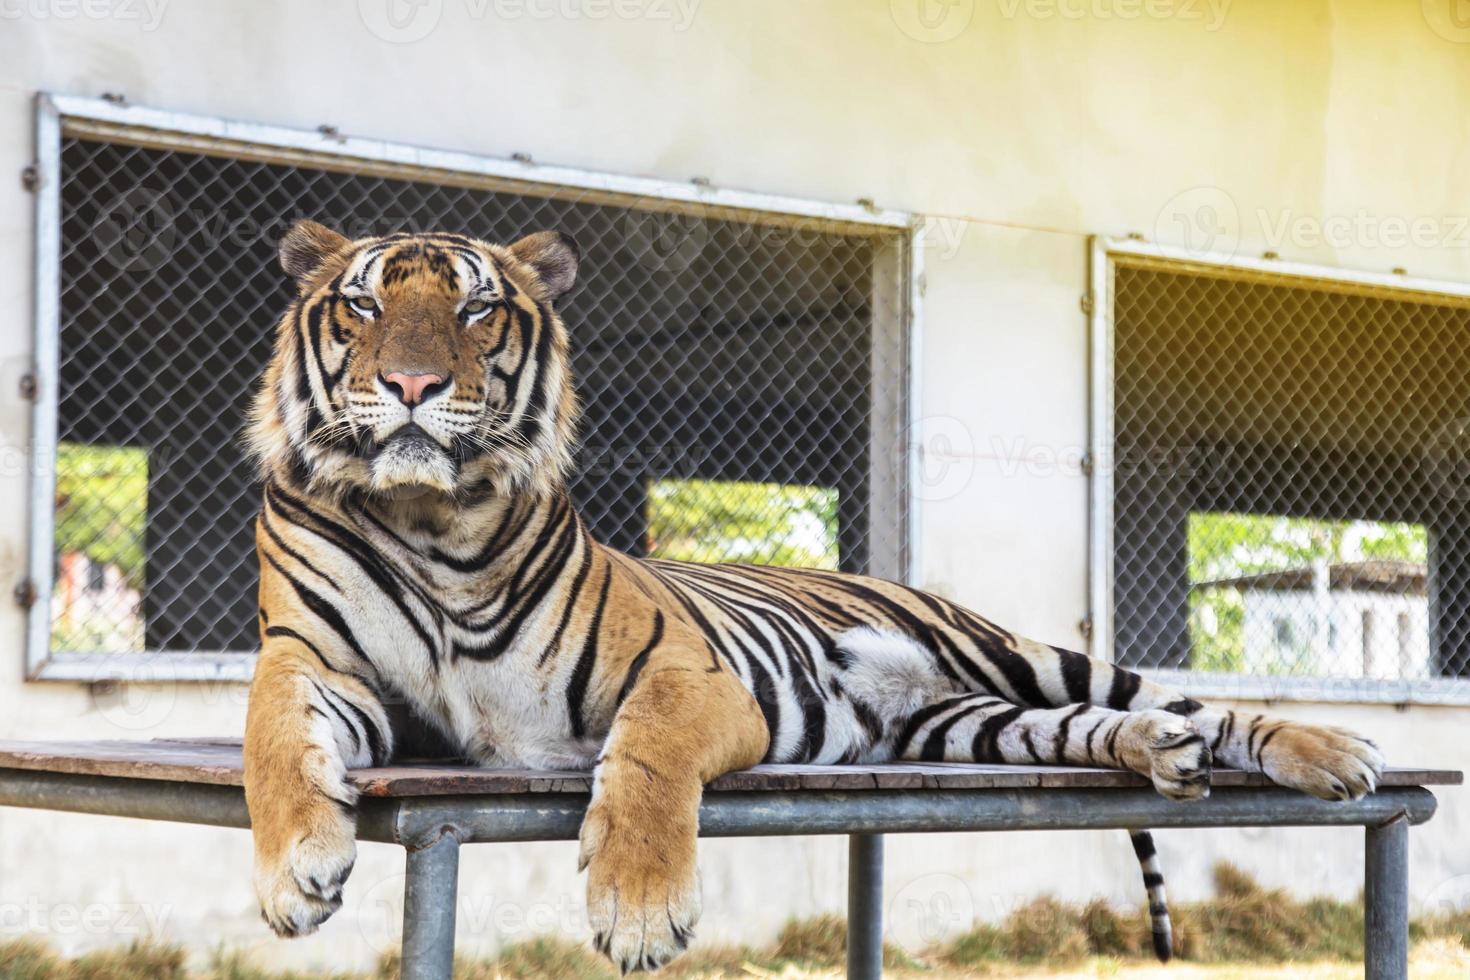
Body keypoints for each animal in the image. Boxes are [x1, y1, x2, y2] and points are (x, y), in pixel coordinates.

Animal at [244, 218, 1387, 969]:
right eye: (364, 303)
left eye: (477, 307)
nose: (413, 386)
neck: (430, 522)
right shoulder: (314, 660)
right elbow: (272, 739)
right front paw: (295, 873)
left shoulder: (683, 671)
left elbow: (646, 758)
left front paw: (639, 907)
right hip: (964, 726)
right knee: (1093, 726)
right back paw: (1160, 753)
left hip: (1017, 653)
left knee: (1182, 699)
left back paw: (1330, 752)